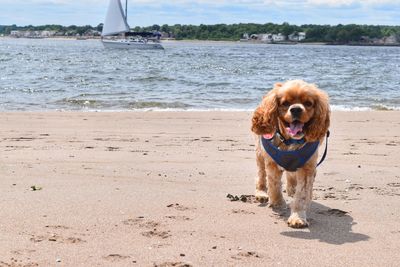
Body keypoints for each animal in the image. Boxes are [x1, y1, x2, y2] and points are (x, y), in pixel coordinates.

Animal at [250, 79, 332, 228]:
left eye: (308, 103)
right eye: (285, 103)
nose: (296, 109)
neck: (291, 141)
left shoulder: (307, 167)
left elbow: (302, 194)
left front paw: (297, 217)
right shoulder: (271, 162)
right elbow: (274, 184)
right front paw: (277, 203)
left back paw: (293, 189)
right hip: (259, 153)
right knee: (261, 175)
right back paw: (261, 193)